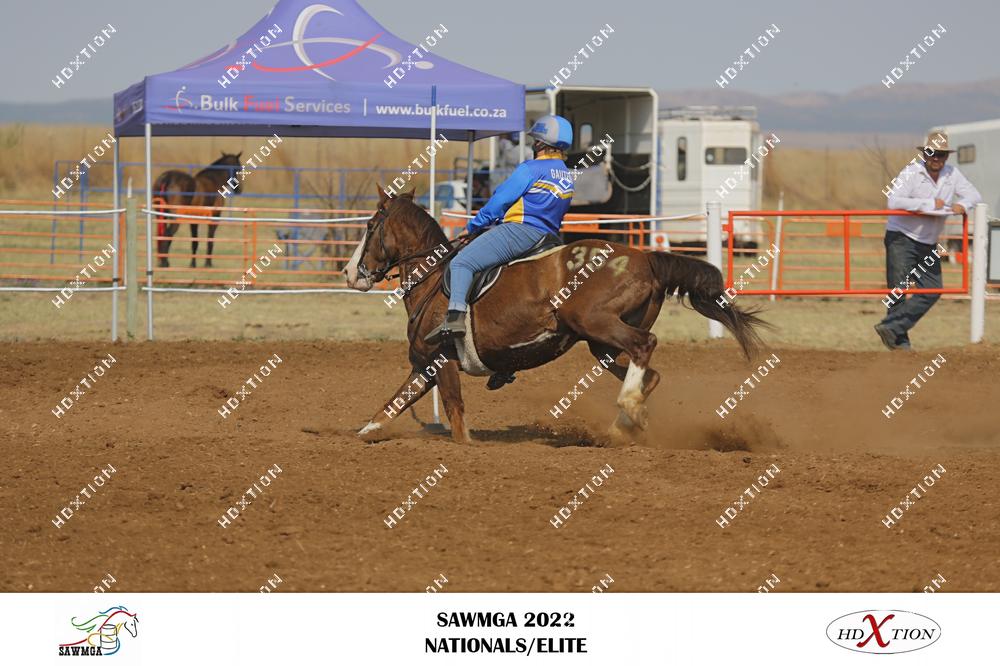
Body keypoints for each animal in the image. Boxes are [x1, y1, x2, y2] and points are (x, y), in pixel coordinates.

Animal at [345, 186, 769, 444]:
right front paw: (362, 432)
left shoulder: (441, 359)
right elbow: (392, 404)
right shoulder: (424, 366)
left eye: (370, 225)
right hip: (601, 344)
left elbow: (455, 414)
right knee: (651, 373)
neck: (435, 277)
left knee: (645, 347)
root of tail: (645, 257)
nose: (350, 272)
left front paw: (467, 444)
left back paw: (628, 407)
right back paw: (620, 427)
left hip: (597, 325)